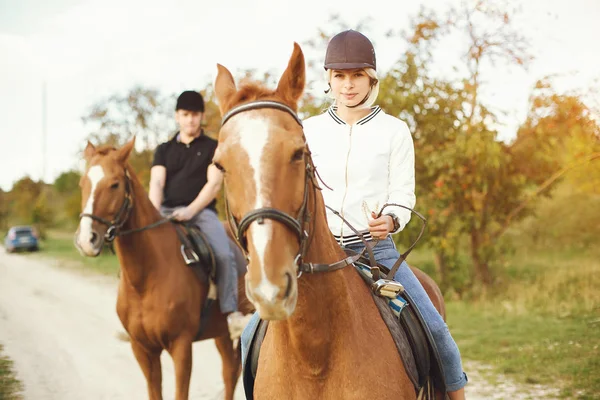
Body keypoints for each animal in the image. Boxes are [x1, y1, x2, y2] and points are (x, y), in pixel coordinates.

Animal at [75, 141, 253, 400]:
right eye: (82, 184)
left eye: (115, 184)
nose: (87, 240)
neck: (146, 277)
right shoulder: (143, 349)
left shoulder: (181, 346)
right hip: (221, 332)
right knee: (230, 371)